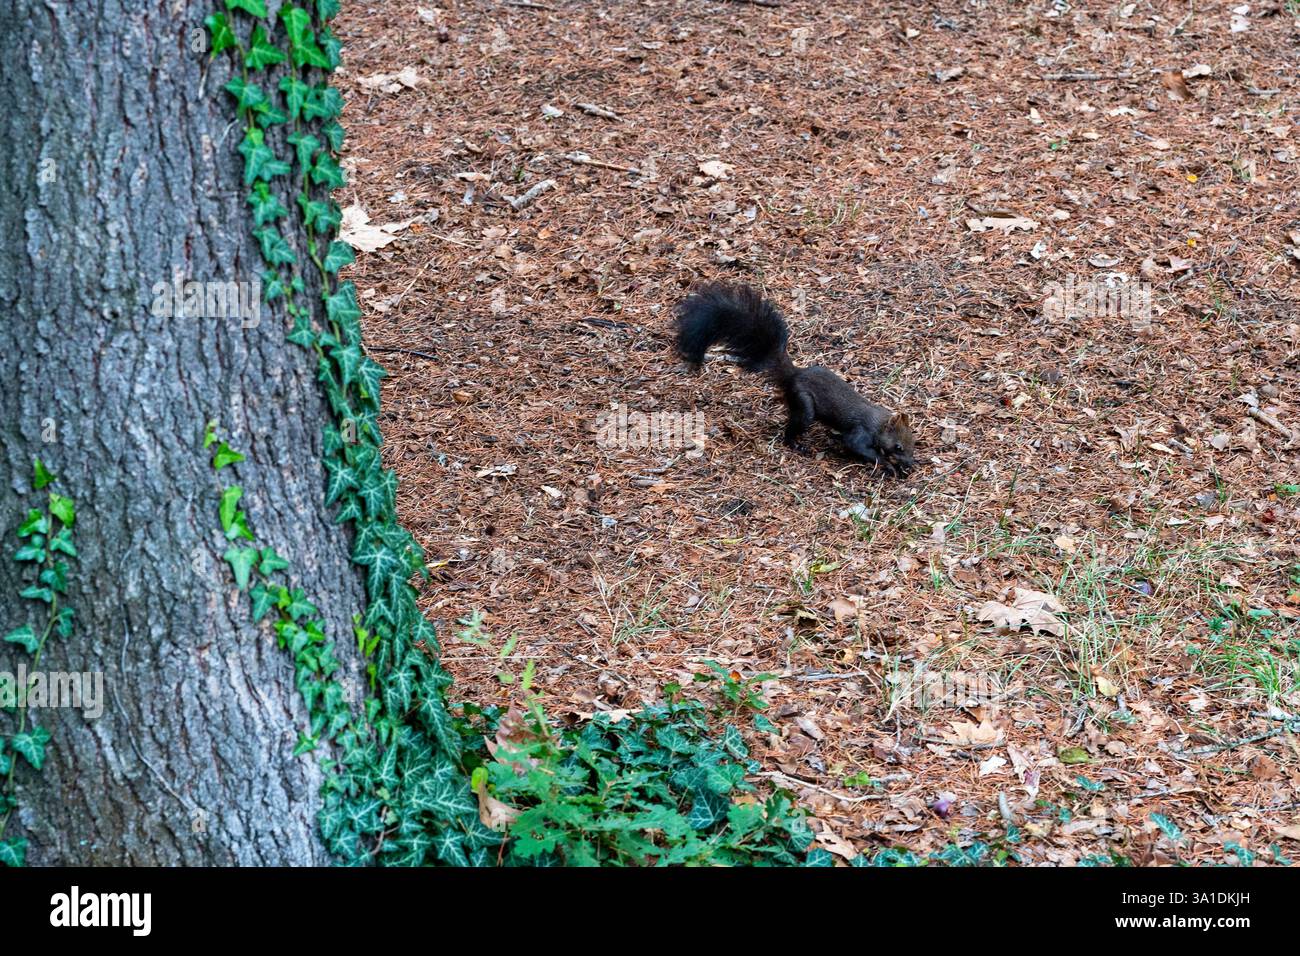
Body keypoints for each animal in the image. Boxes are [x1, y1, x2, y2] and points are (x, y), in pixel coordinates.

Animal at [673, 281, 916, 476]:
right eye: (898, 447)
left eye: (913, 442)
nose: (911, 463)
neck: (879, 423)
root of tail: (793, 374)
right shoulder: (861, 431)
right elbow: (856, 445)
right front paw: (887, 463)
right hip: (803, 402)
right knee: (793, 427)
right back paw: (795, 444)